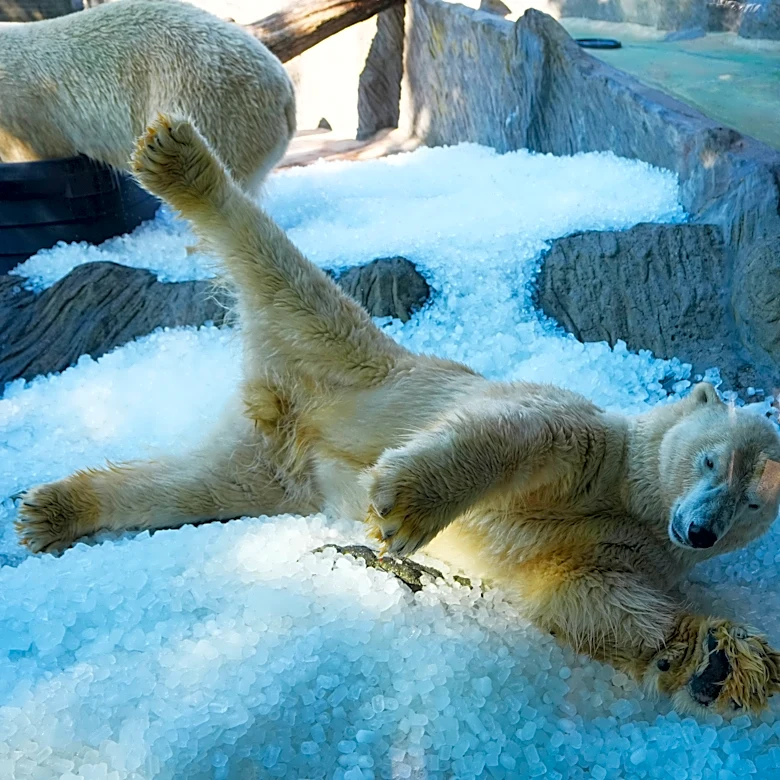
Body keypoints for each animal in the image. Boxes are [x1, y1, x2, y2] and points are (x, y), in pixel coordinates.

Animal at [15, 115, 780, 717]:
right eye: (711, 460)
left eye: (753, 501)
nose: (703, 530)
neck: (630, 494)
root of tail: (284, 408)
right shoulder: (587, 437)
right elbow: (521, 437)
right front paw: (406, 509)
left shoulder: (624, 548)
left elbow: (588, 597)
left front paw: (719, 661)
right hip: (351, 355)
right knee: (281, 271)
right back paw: (177, 161)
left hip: (276, 472)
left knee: (189, 487)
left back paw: (54, 509)